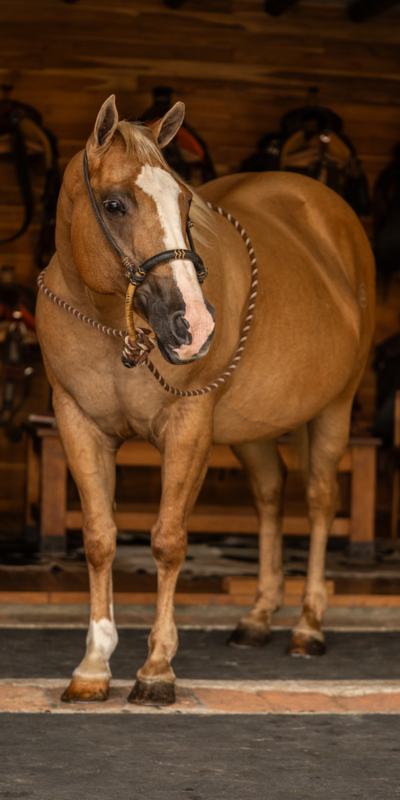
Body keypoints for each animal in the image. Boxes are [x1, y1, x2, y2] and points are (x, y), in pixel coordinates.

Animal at [36, 95, 375, 705]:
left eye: (186, 201)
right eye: (115, 204)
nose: (192, 326)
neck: (109, 324)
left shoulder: (189, 425)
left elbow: (169, 541)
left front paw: (156, 668)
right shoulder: (77, 423)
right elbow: (99, 539)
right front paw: (94, 665)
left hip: (335, 406)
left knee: (318, 500)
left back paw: (307, 626)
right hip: (253, 428)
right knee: (269, 495)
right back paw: (258, 617)